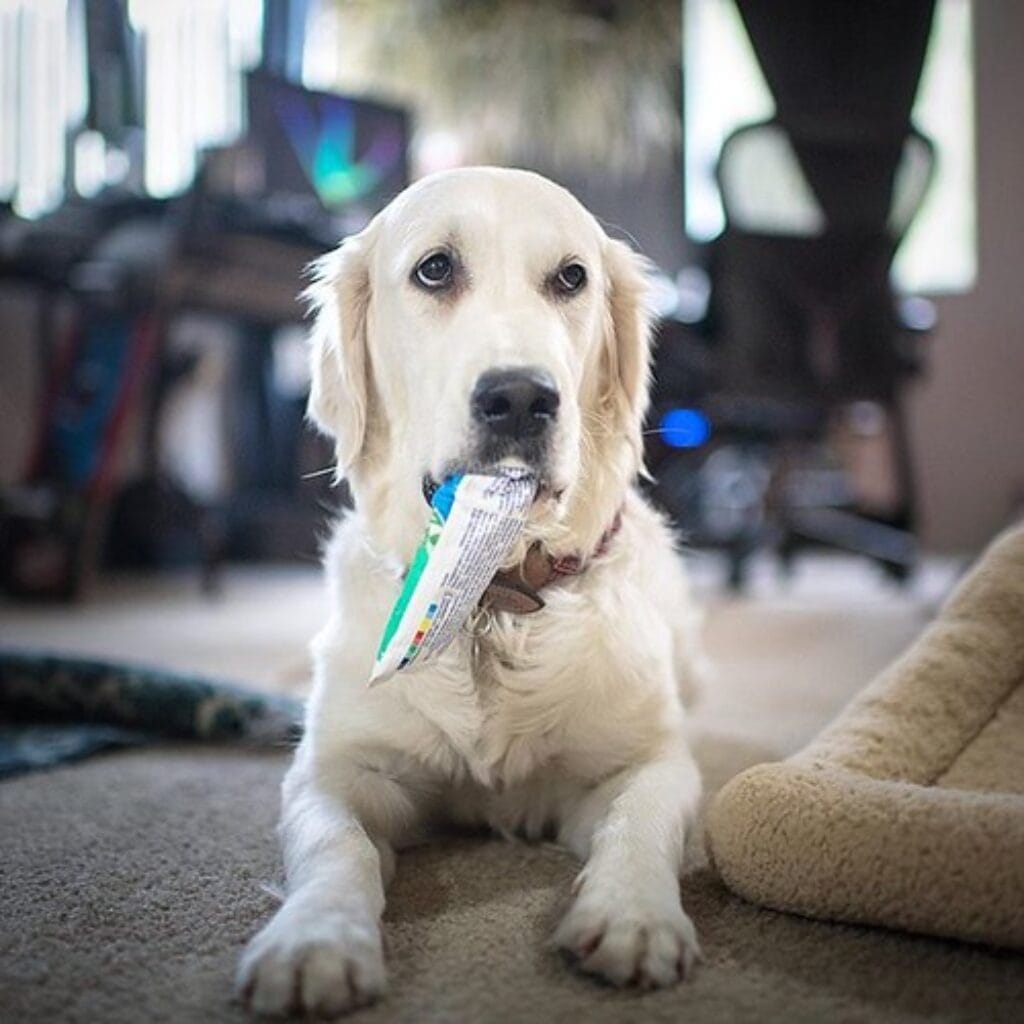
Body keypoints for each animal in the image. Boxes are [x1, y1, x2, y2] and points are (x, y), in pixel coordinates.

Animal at [236, 167, 708, 1015]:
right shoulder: (339, 773)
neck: (494, 597)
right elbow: (336, 844)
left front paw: (633, 916)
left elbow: (641, 819)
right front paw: (314, 940)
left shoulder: (648, 759)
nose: (520, 398)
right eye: (435, 270)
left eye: (571, 278)